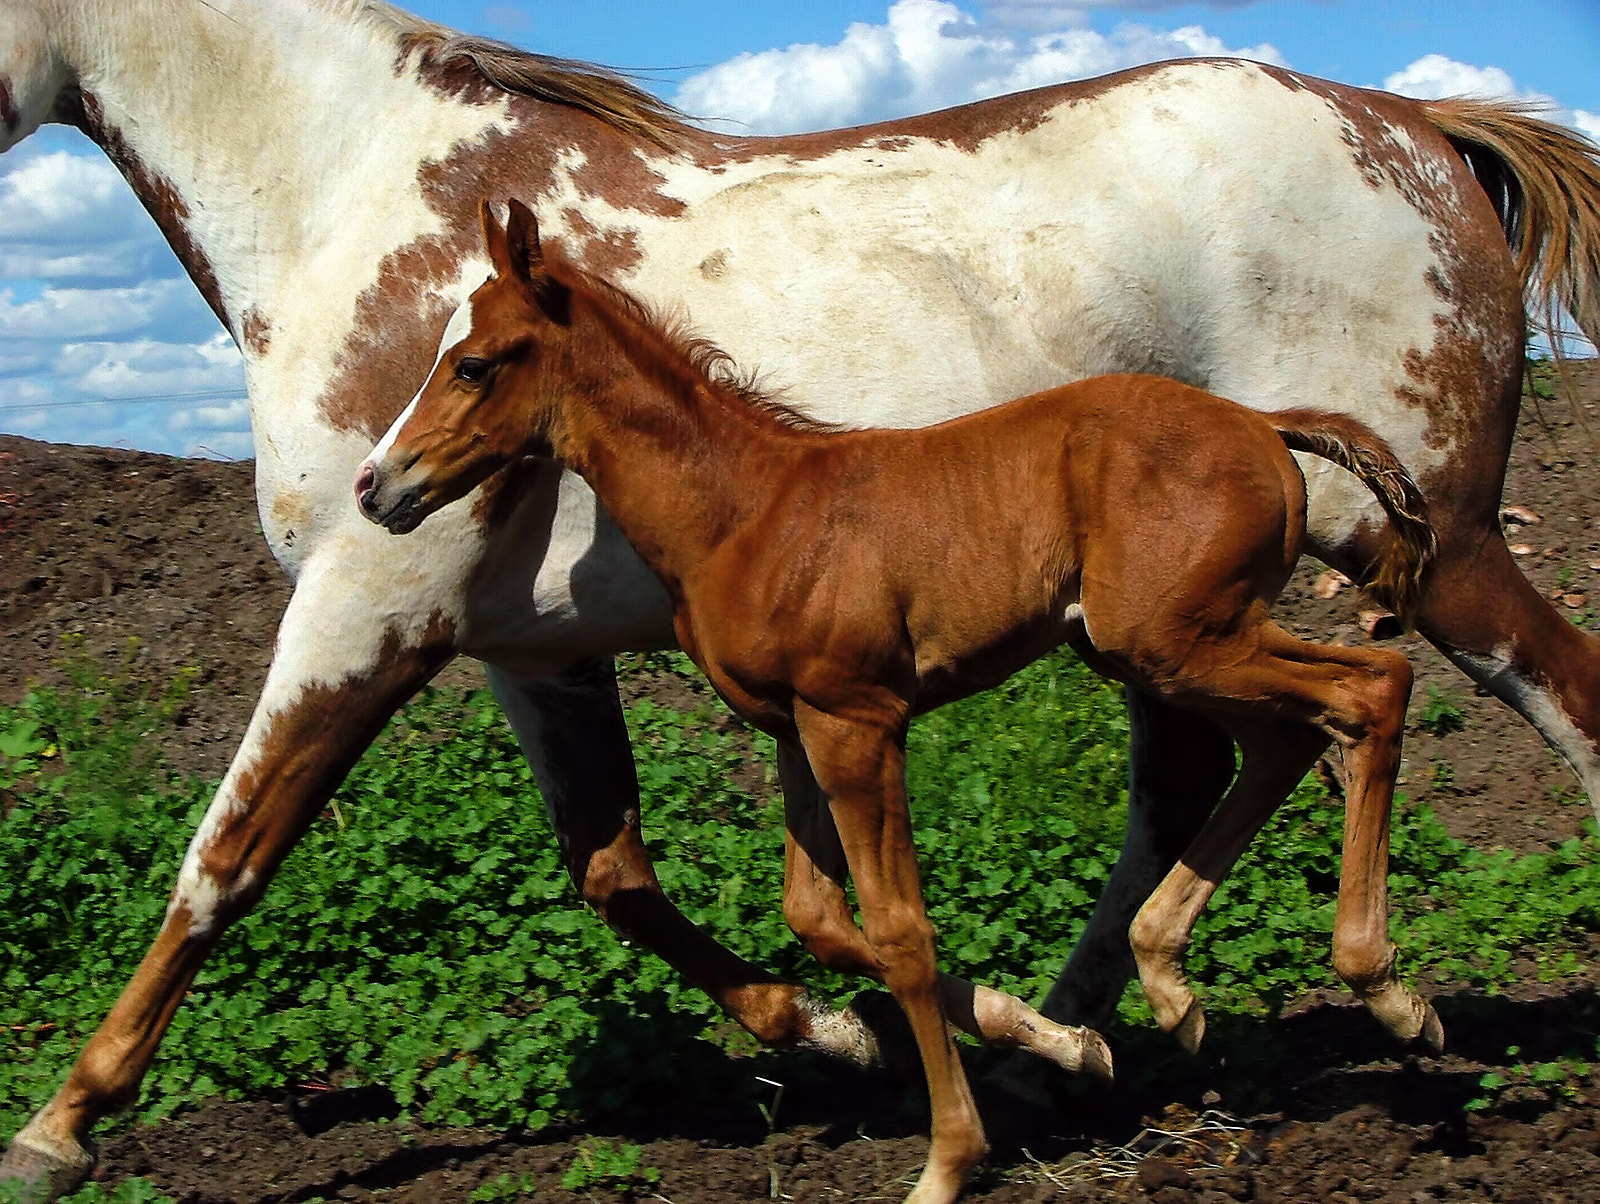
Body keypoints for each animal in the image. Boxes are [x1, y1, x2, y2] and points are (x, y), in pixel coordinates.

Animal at [360, 202, 1440, 1197]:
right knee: (1287, 740)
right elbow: (818, 917)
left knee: (1371, 687)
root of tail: (1262, 424)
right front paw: (1063, 1043)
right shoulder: (794, 730)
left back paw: (1386, 993)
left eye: (473, 365)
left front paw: (950, 1158)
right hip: (1169, 647)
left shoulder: (858, 722)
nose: (377, 486)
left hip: (1180, 639)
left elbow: (899, 933)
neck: (747, 513)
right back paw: (1172, 986)